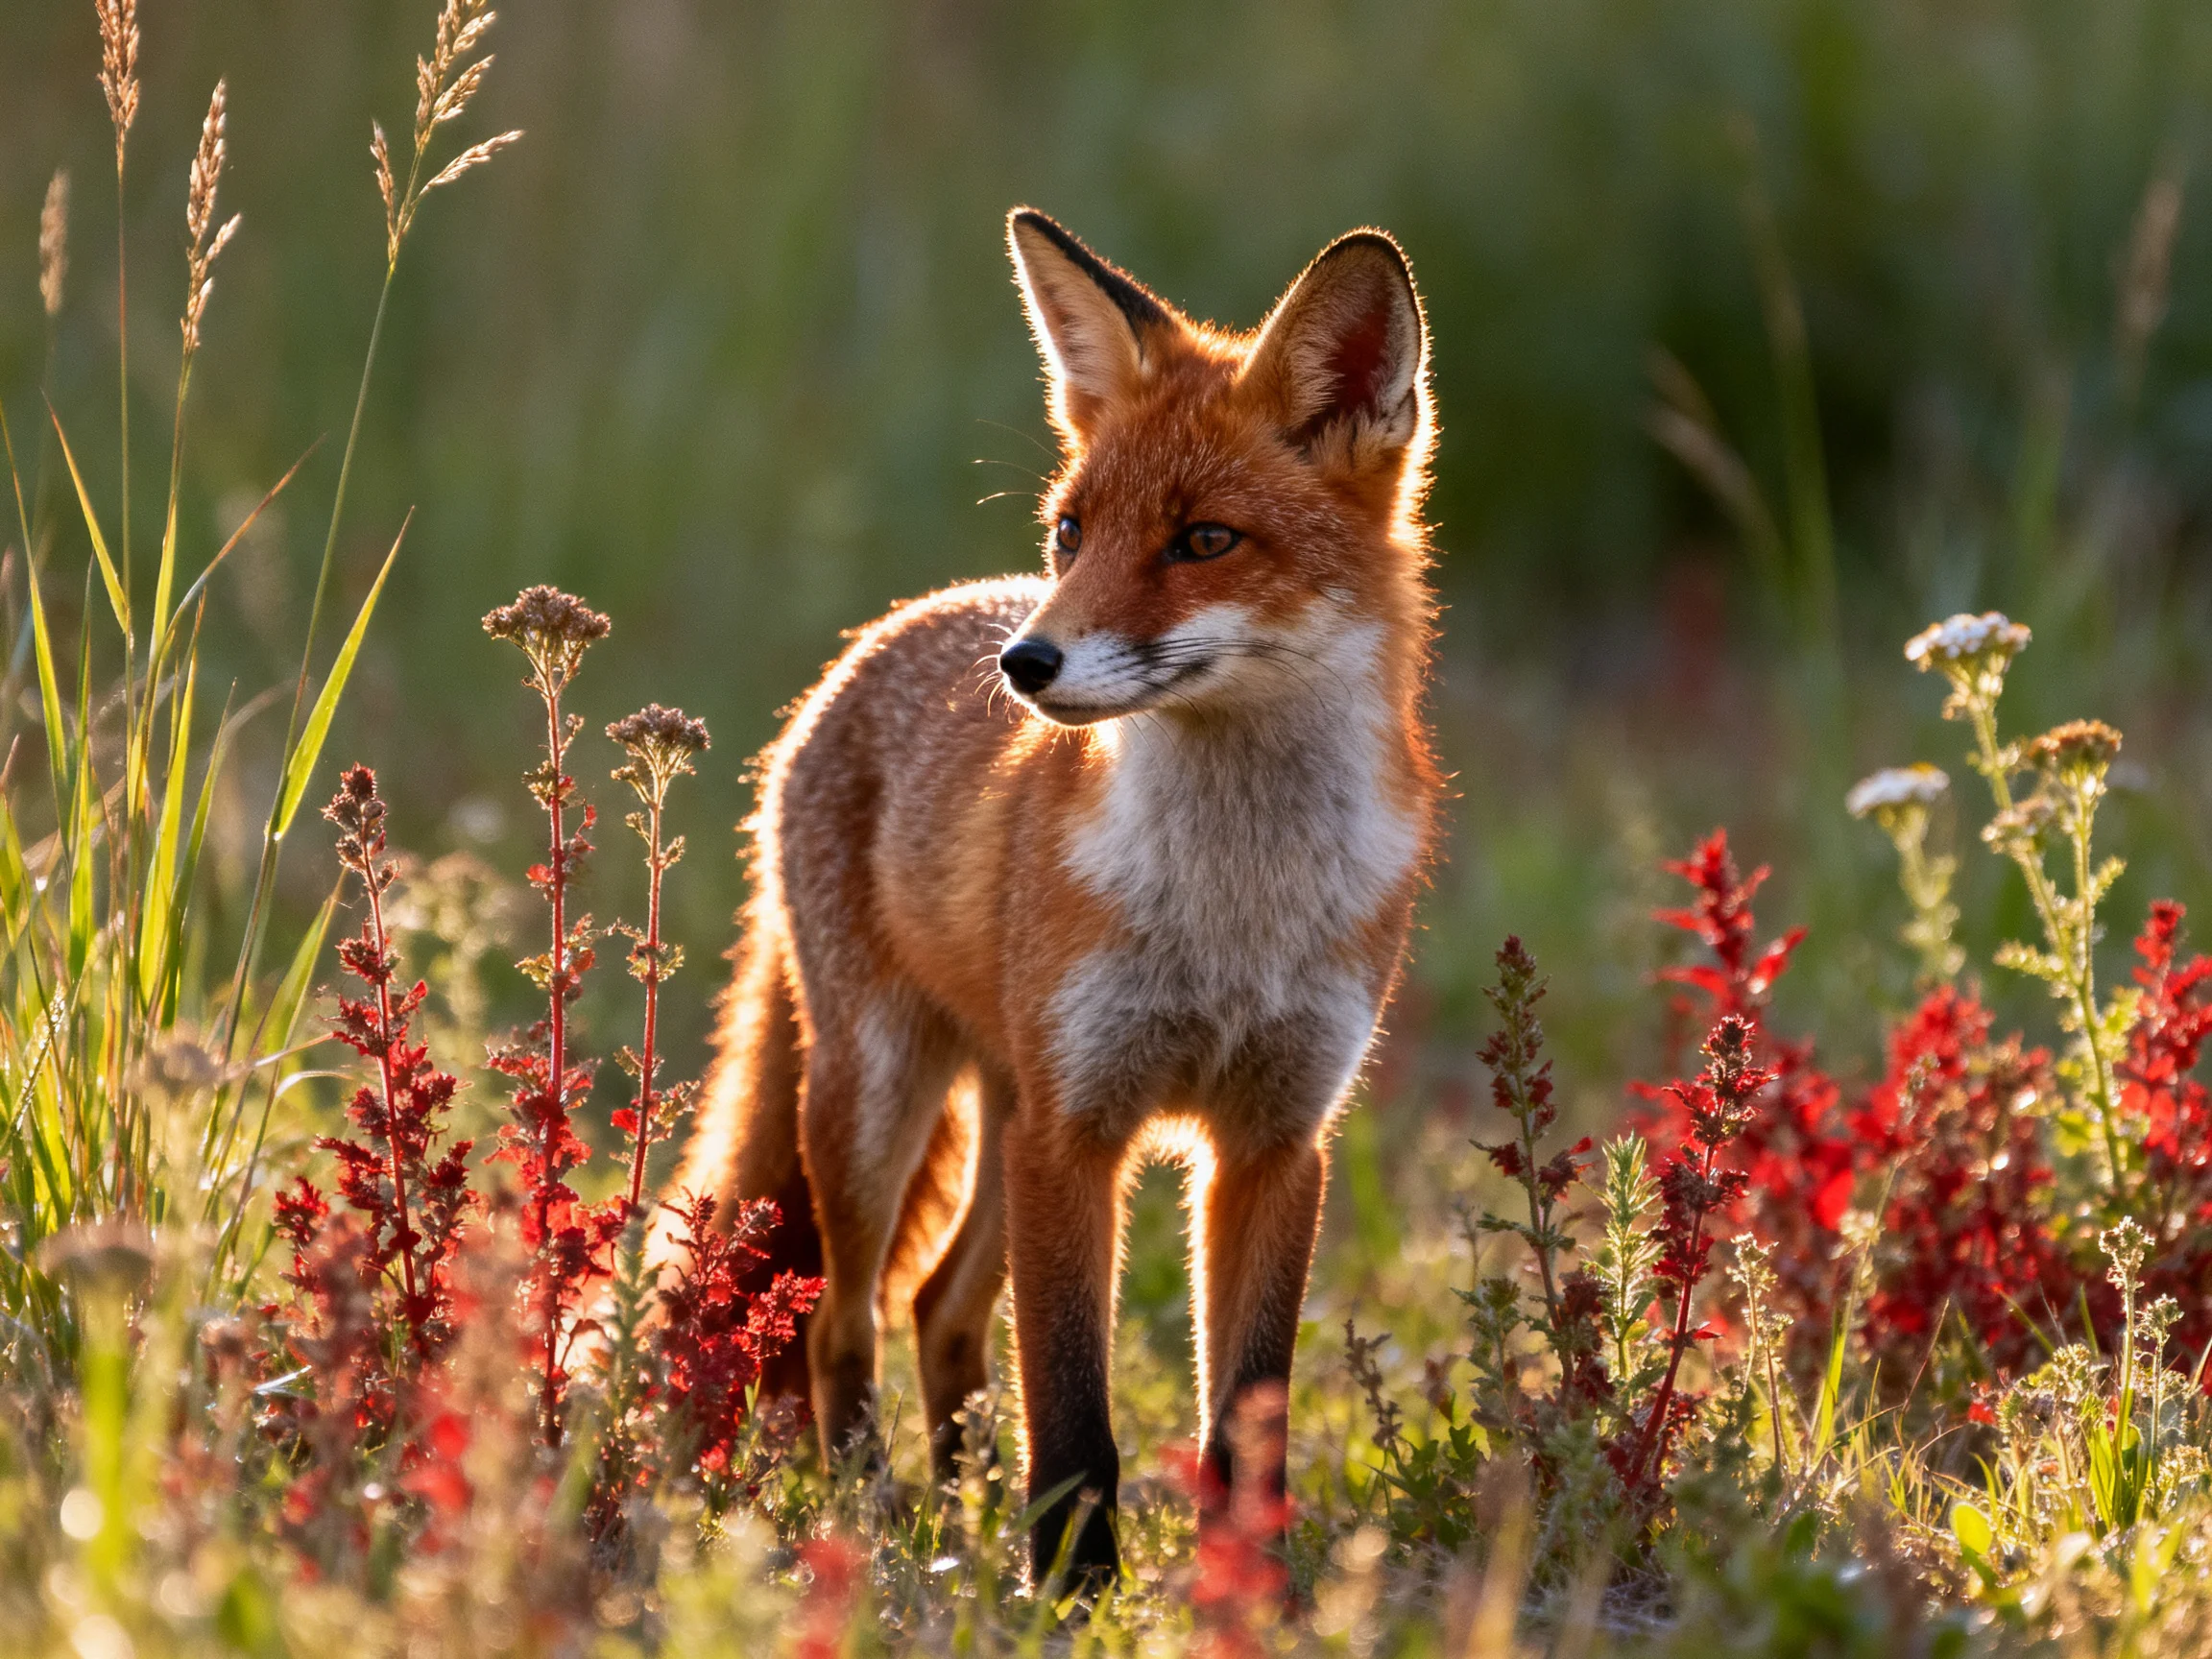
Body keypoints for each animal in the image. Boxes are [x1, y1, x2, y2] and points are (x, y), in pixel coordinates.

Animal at [663, 207, 1440, 1585]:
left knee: (939, 1312)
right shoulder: (1080, 1133)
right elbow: (1075, 1417)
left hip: (1002, 1110)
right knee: (840, 1325)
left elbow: (1250, 1419)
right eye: (1073, 532)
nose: (1025, 662)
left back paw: (957, 1511)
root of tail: (879, 635)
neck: (1233, 910)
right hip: (878, 1107)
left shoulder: (1275, 1138)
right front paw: (1075, 1595)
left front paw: (1250, 1596)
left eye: (1203, 540)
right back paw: (880, 1519)